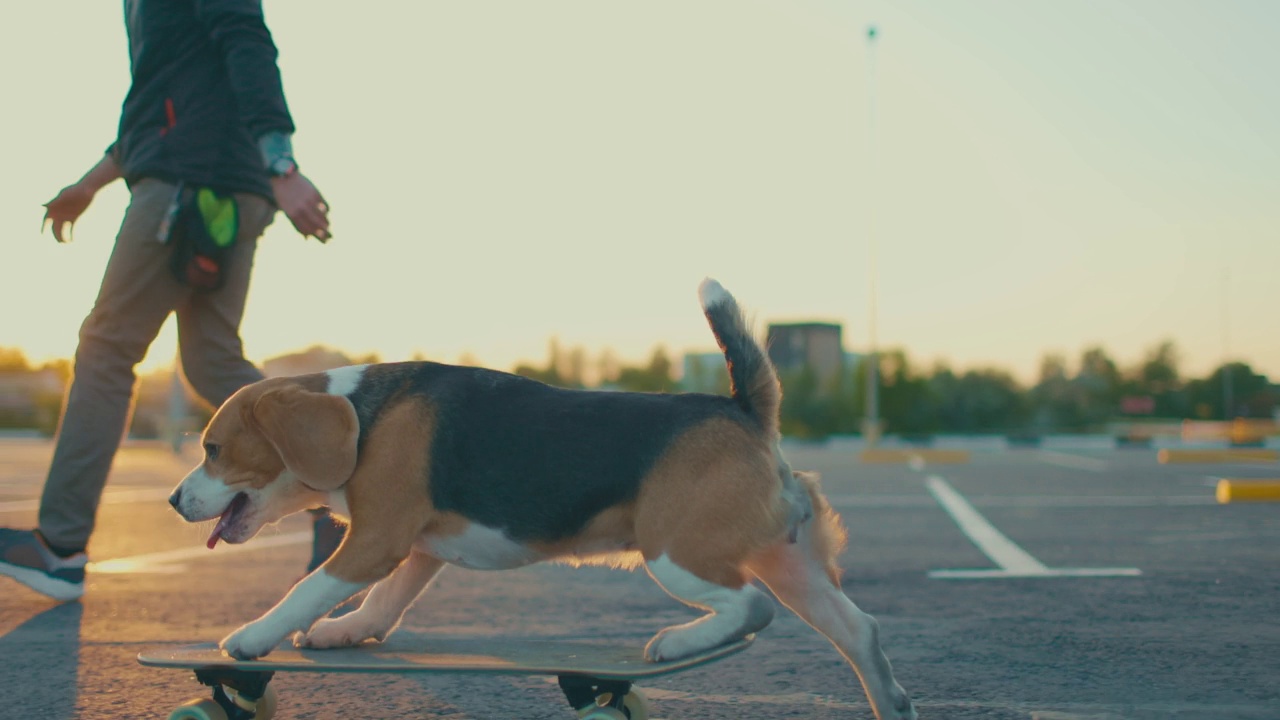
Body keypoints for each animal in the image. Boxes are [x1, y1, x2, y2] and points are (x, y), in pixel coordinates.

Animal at [170, 278, 916, 712]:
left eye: (213, 448)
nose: (175, 502)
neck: (362, 415)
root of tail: (742, 409)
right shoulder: (415, 547)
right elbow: (383, 602)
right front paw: (345, 631)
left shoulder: (375, 540)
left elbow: (307, 588)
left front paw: (250, 638)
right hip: (791, 561)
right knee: (861, 631)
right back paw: (891, 702)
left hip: (674, 552)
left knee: (751, 607)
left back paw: (677, 643)